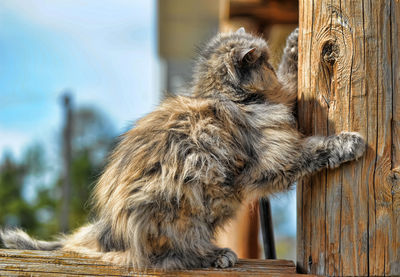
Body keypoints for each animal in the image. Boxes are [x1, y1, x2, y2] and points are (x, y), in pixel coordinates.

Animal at [0, 27, 366, 268]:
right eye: (263, 64)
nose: (270, 69)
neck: (228, 97)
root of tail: (110, 226)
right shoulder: (276, 159)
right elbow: (316, 149)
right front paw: (351, 143)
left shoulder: (283, 102)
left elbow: (291, 86)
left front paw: (293, 47)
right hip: (183, 204)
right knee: (175, 254)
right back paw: (217, 256)